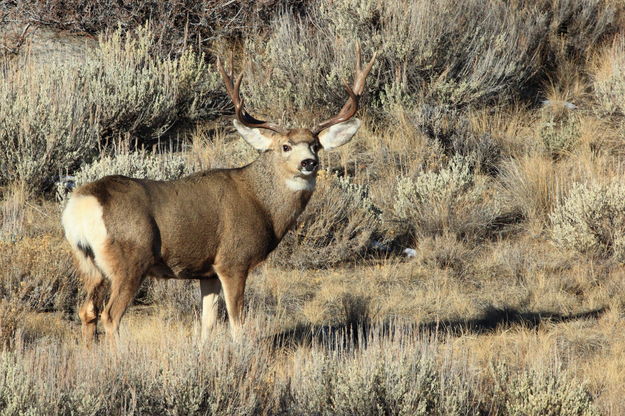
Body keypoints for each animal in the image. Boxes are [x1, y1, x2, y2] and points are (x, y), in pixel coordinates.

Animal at [62, 45, 376, 346]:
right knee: (110, 315)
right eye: (285, 146)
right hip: (130, 259)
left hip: (88, 263)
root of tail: (82, 204)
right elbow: (237, 322)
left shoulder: (207, 271)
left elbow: (208, 322)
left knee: (87, 311)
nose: (309, 163)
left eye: (316, 145)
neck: (262, 205)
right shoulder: (232, 260)